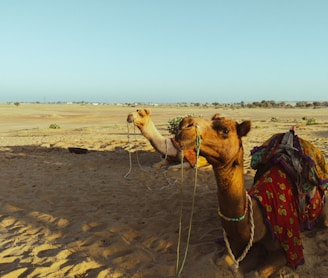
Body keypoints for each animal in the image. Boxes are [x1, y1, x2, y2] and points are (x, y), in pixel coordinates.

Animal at [176, 113, 326, 278]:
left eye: (225, 130)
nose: (184, 125)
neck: (261, 212)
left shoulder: (286, 247)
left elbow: (255, 273)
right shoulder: (234, 241)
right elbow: (221, 262)